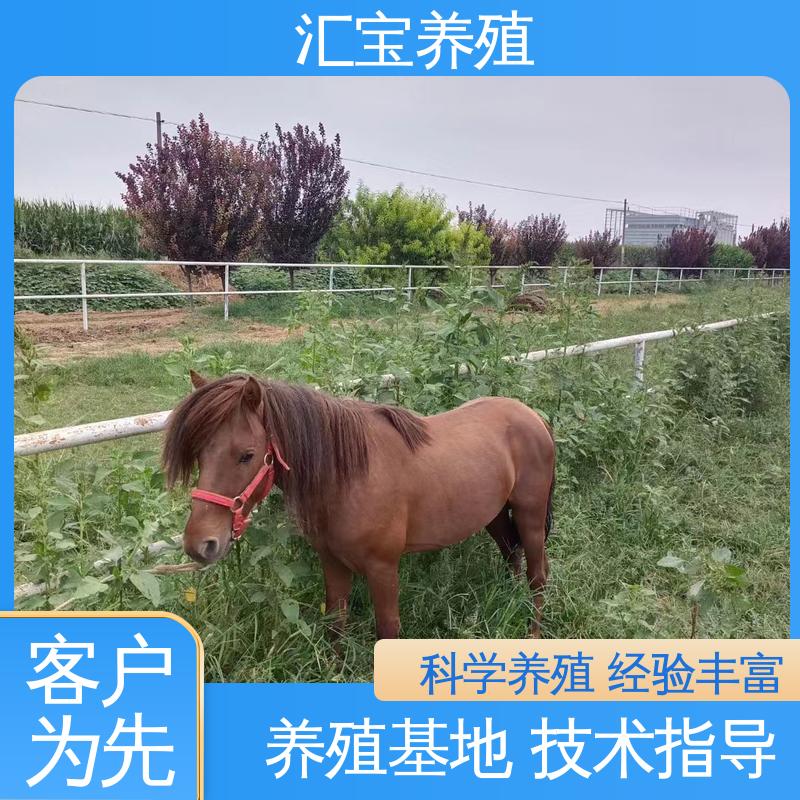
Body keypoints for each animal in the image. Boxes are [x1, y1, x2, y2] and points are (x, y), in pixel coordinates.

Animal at [162, 371, 556, 639]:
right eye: (200, 454)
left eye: (246, 455)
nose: (200, 543)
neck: (349, 477)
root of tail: (533, 416)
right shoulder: (333, 562)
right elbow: (336, 622)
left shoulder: (383, 568)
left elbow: (387, 629)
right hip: (494, 515)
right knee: (512, 556)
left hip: (531, 515)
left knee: (537, 576)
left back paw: (532, 632)